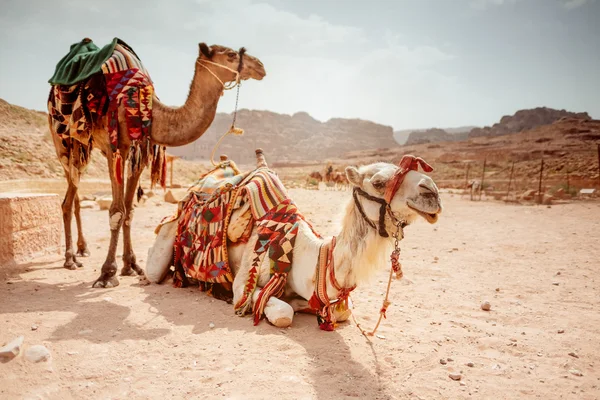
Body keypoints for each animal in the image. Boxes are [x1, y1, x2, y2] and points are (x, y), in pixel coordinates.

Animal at [50, 41, 266, 288]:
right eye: (230, 54)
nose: (260, 66)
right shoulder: (115, 148)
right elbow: (117, 210)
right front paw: (107, 273)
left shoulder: (139, 153)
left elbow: (129, 210)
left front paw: (131, 265)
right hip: (63, 141)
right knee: (67, 200)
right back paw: (70, 259)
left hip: (83, 148)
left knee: (74, 195)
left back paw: (82, 250)